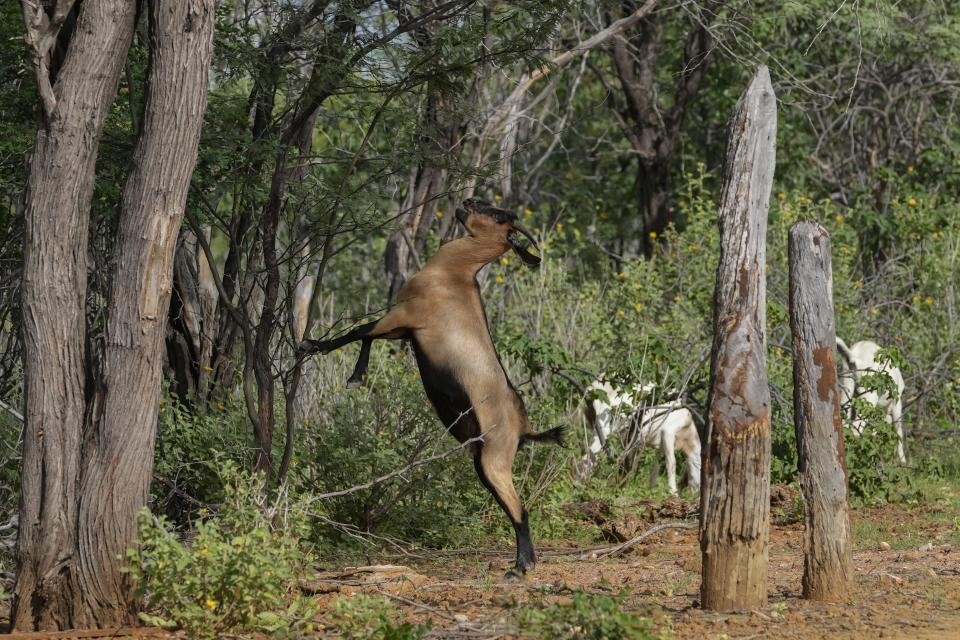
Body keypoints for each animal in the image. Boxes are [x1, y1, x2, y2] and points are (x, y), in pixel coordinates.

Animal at [300, 199, 564, 576]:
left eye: (498, 214)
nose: (466, 202)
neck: (453, 275)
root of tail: (526, 428)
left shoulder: (406, 316)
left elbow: (359, 331)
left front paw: (311, 346)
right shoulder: (402, 328)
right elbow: (366, 336)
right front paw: (357, 376)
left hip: (495, 463)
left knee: (520, 509)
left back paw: (520, 567)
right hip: (483, 463)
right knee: (514, 507)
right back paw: (523, 563)